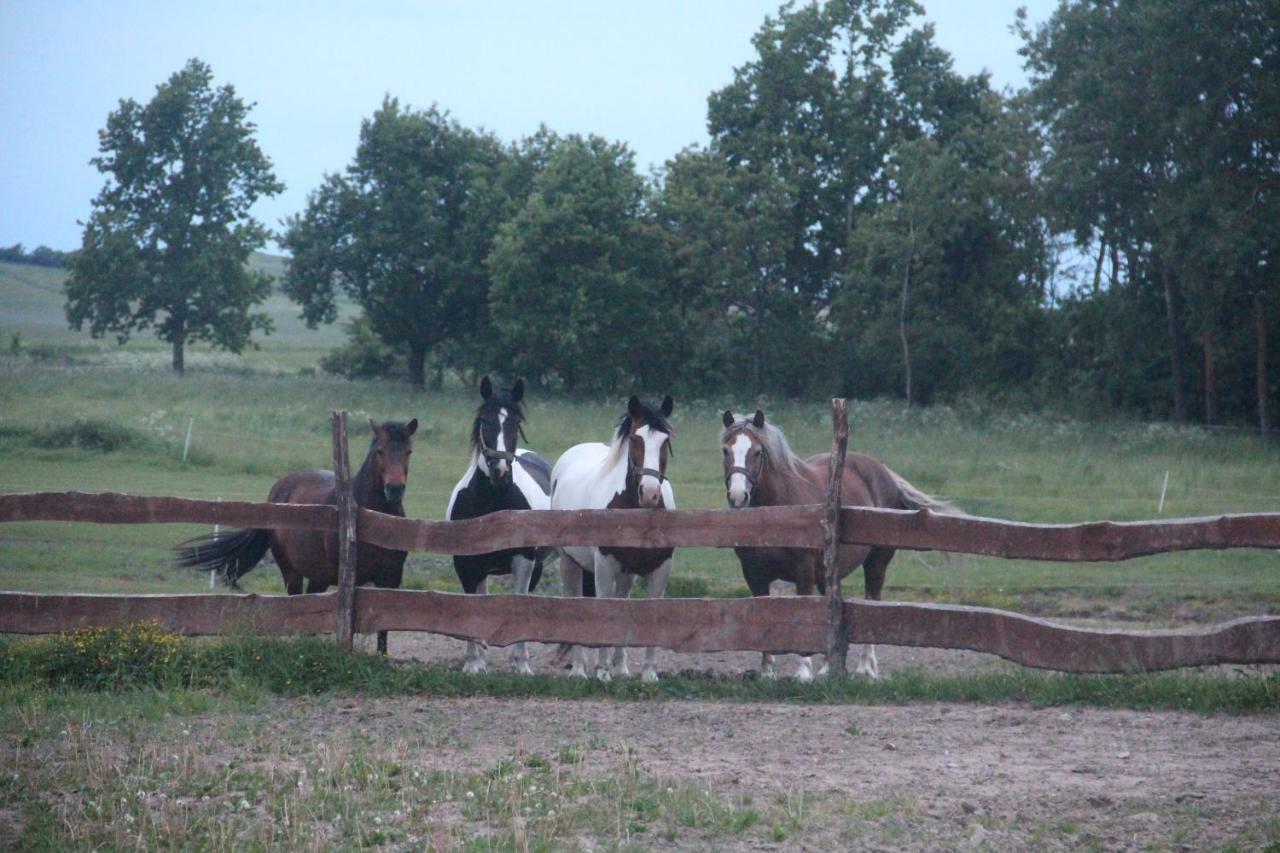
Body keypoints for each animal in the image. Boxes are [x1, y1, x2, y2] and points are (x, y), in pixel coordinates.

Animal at [172, 417, 414, 650]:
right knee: (297, 605)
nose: (394, 489)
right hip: (290, 570)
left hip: (319, 574)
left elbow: (384, 630)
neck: (375, 522)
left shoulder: (391, 579)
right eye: (380, 451)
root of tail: (275, 493)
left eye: (409, 451)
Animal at [445, 376, 555, 676]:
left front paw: (522, 665)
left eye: (515, 423)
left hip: (536, 566)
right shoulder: (466, 564)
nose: (500, 471)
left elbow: (519, 604)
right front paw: (474, 663)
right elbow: (472, 608)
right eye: (485, 421)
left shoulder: (525, 562)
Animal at [558, 394, 686, 681]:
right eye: (636, 440)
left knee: (622, 602)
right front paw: (602, 672)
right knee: (576, 603)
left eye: (666, 441)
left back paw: (621, 668)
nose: (649, 494)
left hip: (626, 574)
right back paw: (580, 669)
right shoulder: (604, 567)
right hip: (570, 561)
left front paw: (648, 674)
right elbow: (605, 611)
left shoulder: (661, 568)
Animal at [721, 409, 952, 681]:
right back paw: (827, 668)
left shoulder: (803, 571)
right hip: (828, 573)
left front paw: (803, 672)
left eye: (757, 452)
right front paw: (768, 672)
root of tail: (883, 472)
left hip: (877, 564)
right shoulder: (753, 574)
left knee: (872, 603)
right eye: (726, 450)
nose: (738, 496)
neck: (777, 514)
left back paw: (866, 668)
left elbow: (804, 614)